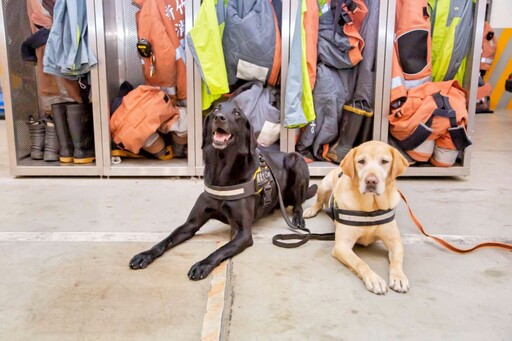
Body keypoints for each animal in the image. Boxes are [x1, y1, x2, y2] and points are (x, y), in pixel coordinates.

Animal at [129, 101, 316, 278]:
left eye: (236, 113)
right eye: (215, 109)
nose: (220, 117)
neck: (221, 169)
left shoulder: (243, 233)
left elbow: (220, 250)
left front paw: (203, 264)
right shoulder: (191, 224)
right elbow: (166, 240)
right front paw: (145, 254)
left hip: (296, 160)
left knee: (299, 203)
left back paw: (298, 219)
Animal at [304, 139, 408, 294]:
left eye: (384, 161)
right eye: (361, 161)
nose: (371, 181)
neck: (370, 208)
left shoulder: (395, 243)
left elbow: (396, 261)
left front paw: (399, 277)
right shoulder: (342, 246)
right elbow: (361, 262)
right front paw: (374, 279)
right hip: (323, 186)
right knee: (318, 203)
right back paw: (311, 210)